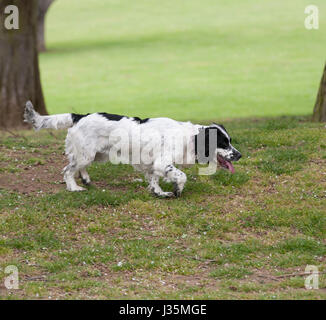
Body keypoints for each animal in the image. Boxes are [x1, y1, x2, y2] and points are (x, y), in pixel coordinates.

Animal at [24, 102, 241, 198]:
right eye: (223, 143)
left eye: (229, 141)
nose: (239, 155)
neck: (188, 137)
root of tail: (80, 116)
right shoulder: (162, 162)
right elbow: (181, 176)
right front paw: (177, 190)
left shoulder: (153, 164)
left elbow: (154, 180)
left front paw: (159, 193)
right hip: (87, 154)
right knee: (68, 170)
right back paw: (74, 187)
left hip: (96, 155)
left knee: (78, 168)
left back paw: (85, 180)